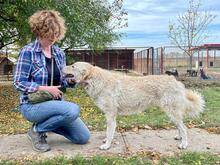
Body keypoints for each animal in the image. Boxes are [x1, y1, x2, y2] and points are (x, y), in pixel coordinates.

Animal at [62, 61, 205, 150]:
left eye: (73, 66)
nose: (62, 66)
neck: (96, 80)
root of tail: (176, 81)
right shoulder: (110, 116)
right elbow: (109, 132)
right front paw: (106, 141)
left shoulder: (110, 116)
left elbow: (109, 133)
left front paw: (107, 146)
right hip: (172, 114)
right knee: (180, 127)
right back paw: (179, 138)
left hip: (172, 112)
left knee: (184, 128)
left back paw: (184, 144)